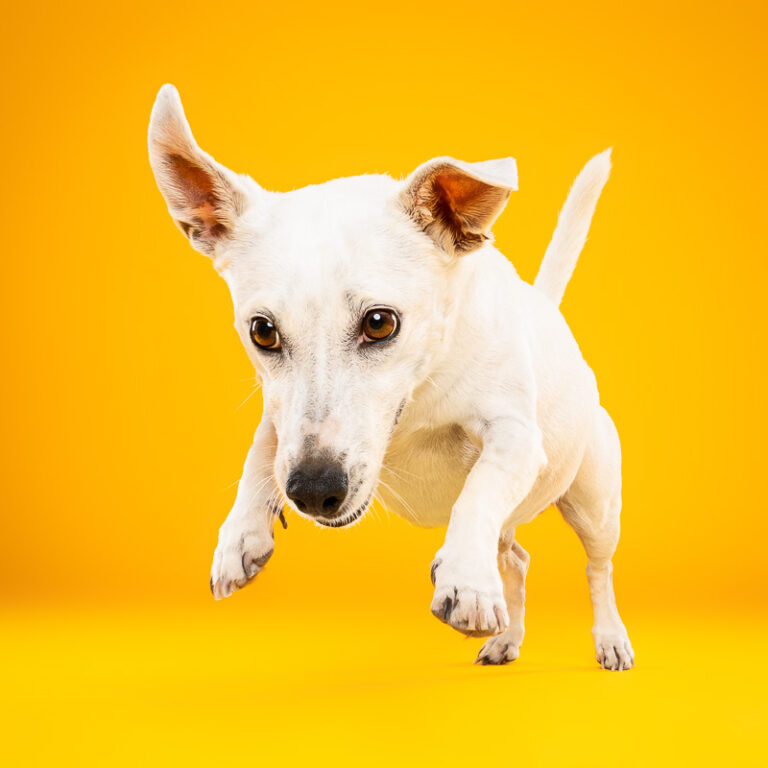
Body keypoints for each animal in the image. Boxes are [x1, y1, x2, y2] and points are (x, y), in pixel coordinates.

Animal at [147, 85, 632, 672]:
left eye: (380, 322)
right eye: (262, 331)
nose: (313, 491)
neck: (416, 401)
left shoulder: (516, 437)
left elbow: (479, 489)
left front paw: (467, 582)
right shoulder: (280, 413)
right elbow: (264, 447)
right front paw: (240, 533)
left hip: (594, 505)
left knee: (596, 569)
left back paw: (608, 637)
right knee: (516, 557)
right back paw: (507, 638)